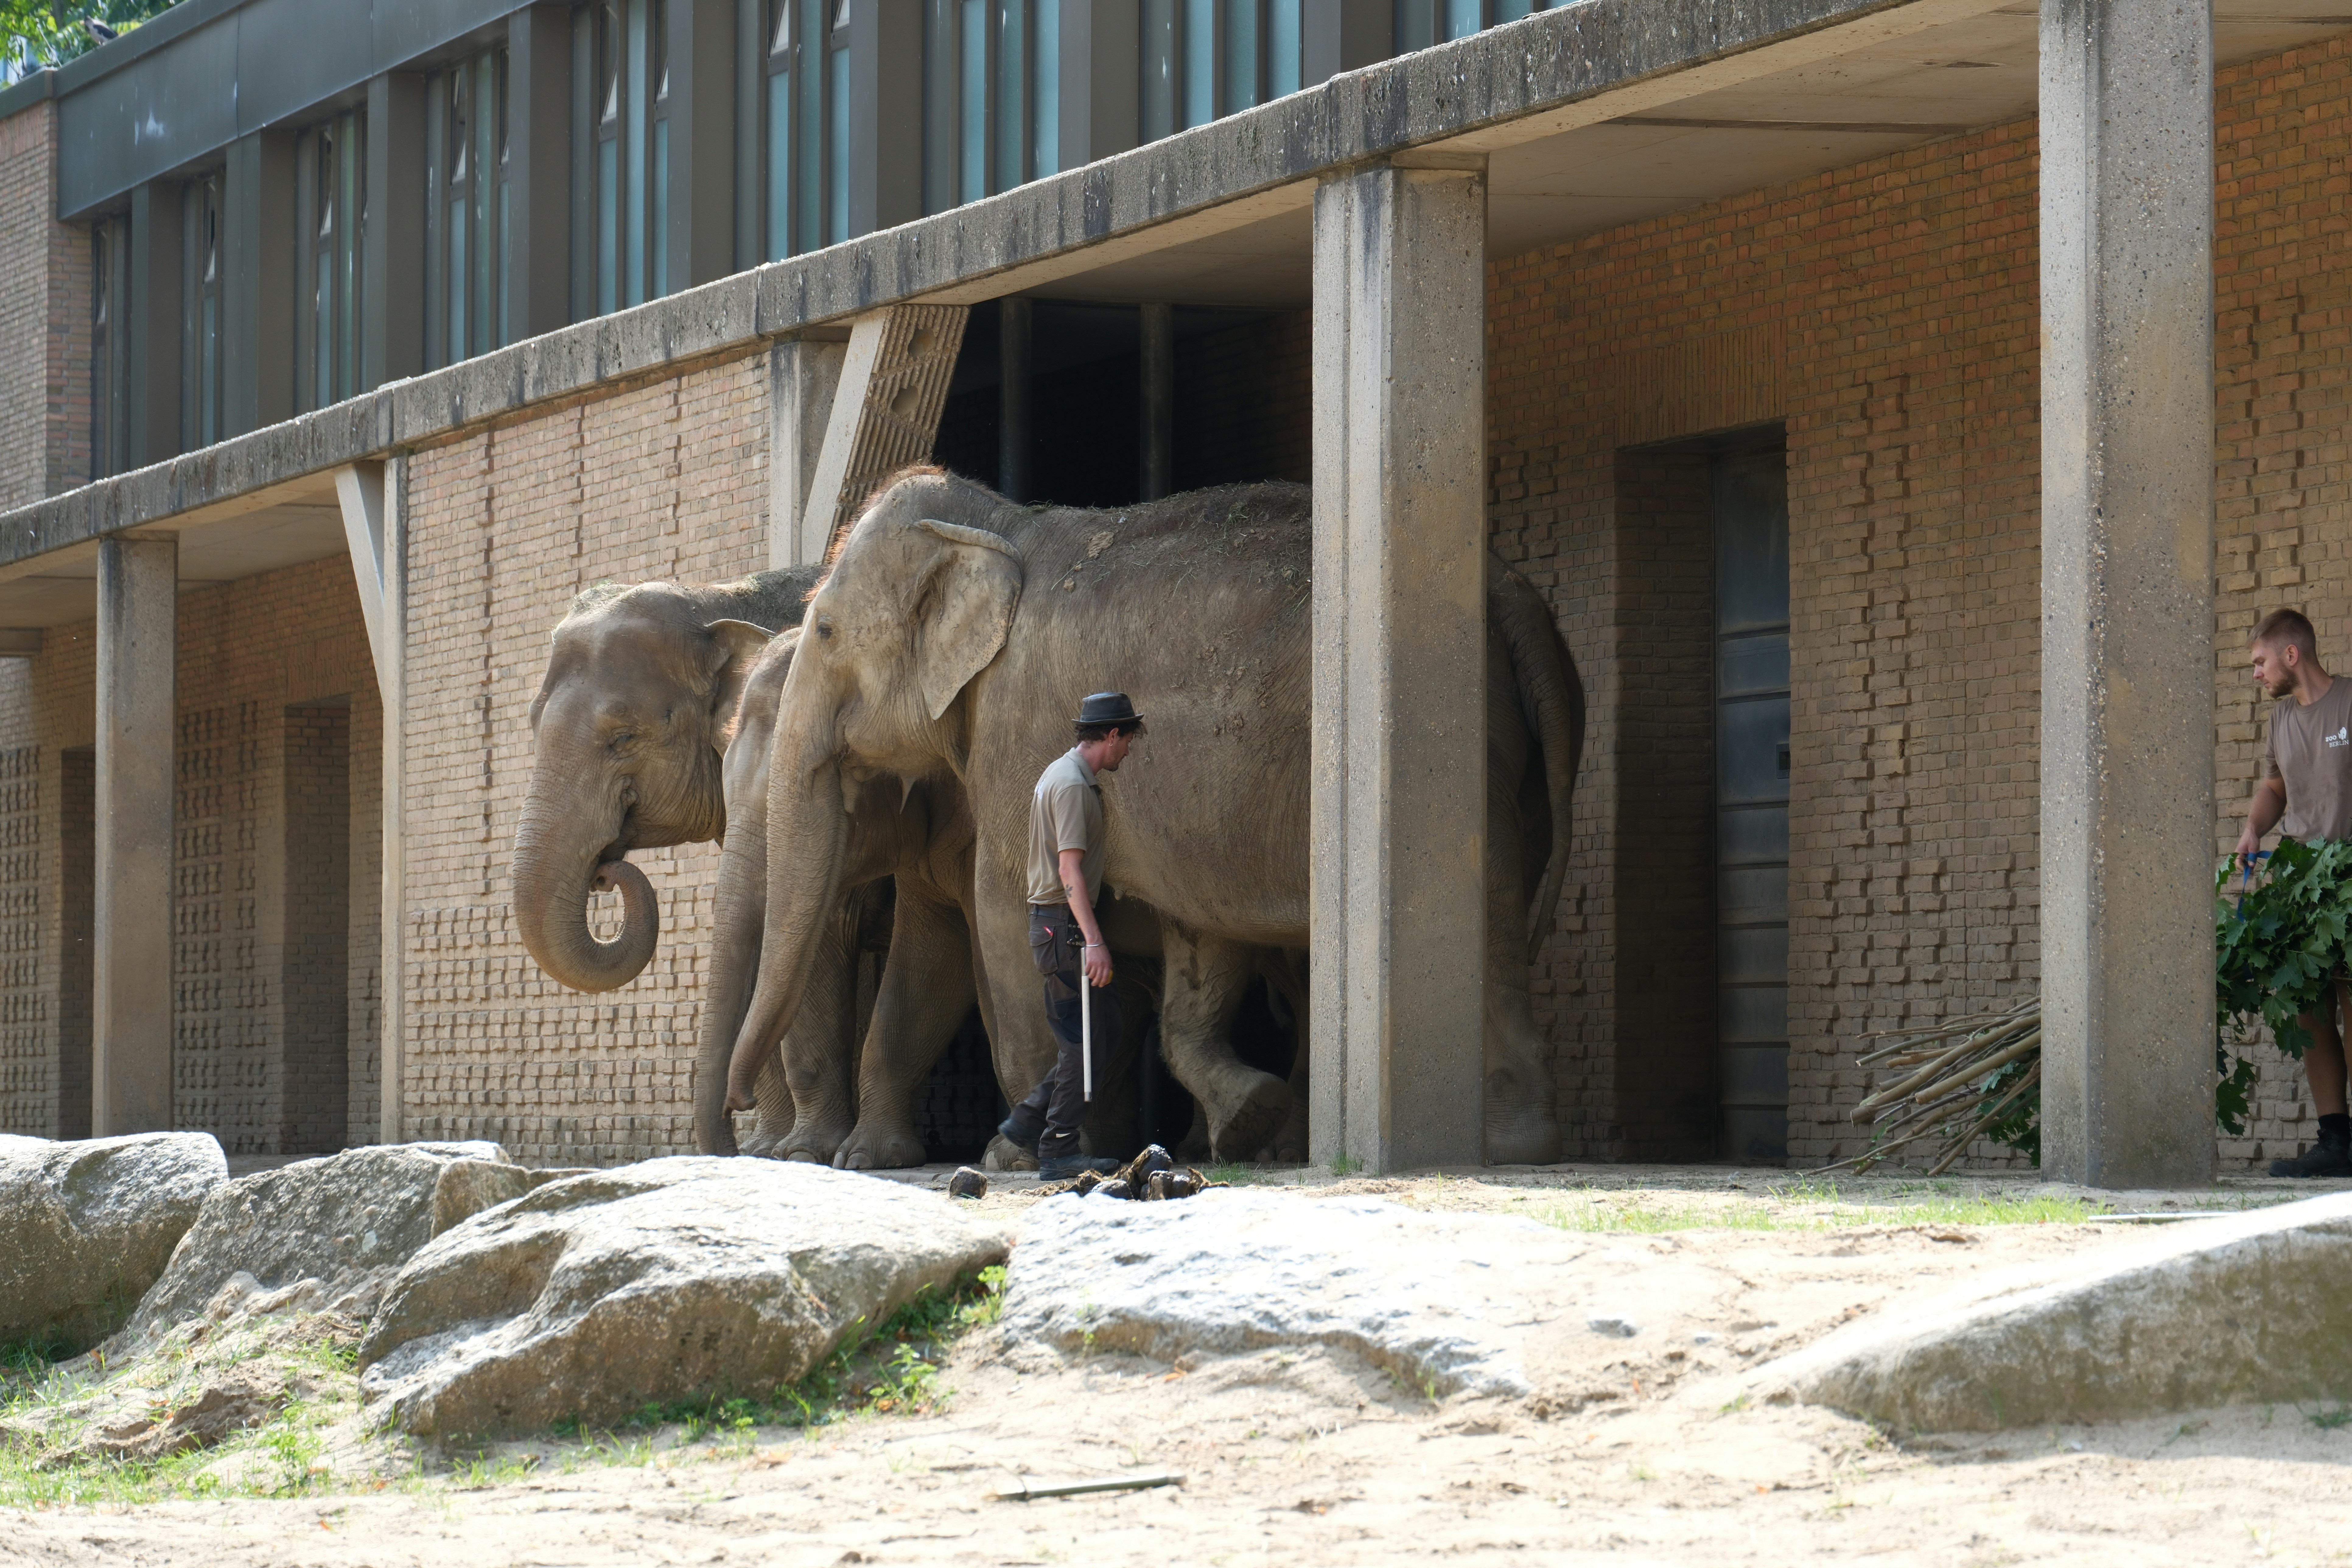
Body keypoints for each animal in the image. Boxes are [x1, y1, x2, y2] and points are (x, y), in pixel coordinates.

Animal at [723, 470, 1584, 1164]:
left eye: (825, 630)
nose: (738, 1106)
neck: (1000, 525)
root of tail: (1513, 597)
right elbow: (1189, 936)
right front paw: (1221, 1120)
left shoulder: (1016, 733)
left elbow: (1005, 914)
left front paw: (1018, 1156)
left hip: (1465, 739)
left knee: (1484, 901)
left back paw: (1505, 1143)